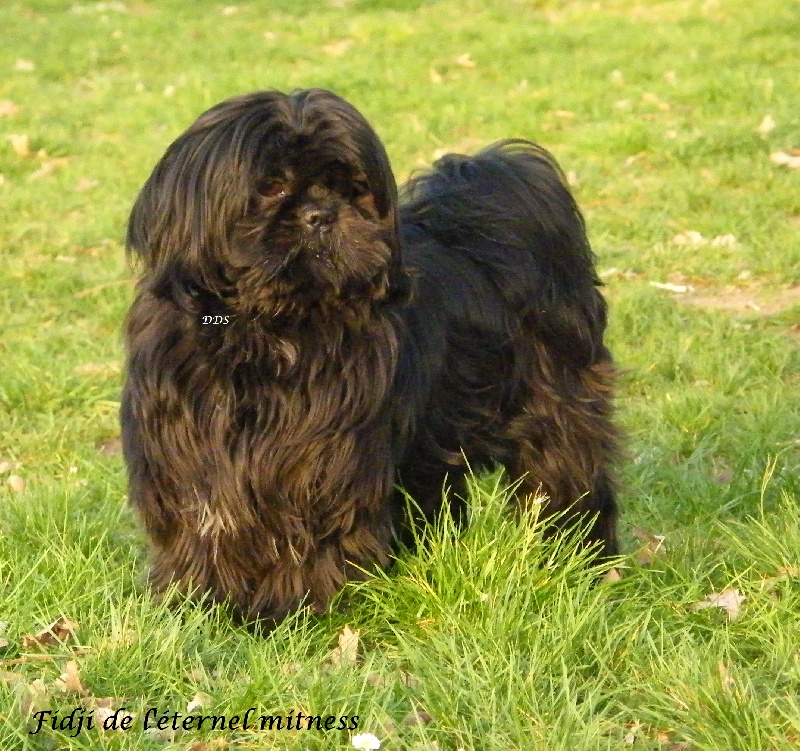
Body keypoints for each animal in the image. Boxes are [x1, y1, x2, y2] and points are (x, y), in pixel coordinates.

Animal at [121, 88, 619, 625]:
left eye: (350, 189)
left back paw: (579, 554)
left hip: (556, 405)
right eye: (271, 187)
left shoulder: (317, 466)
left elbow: (306, 538)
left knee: (567, 475)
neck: (268, 329)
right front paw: (198, 606)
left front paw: (295, 609)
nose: (321, 213)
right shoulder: (188, 459)